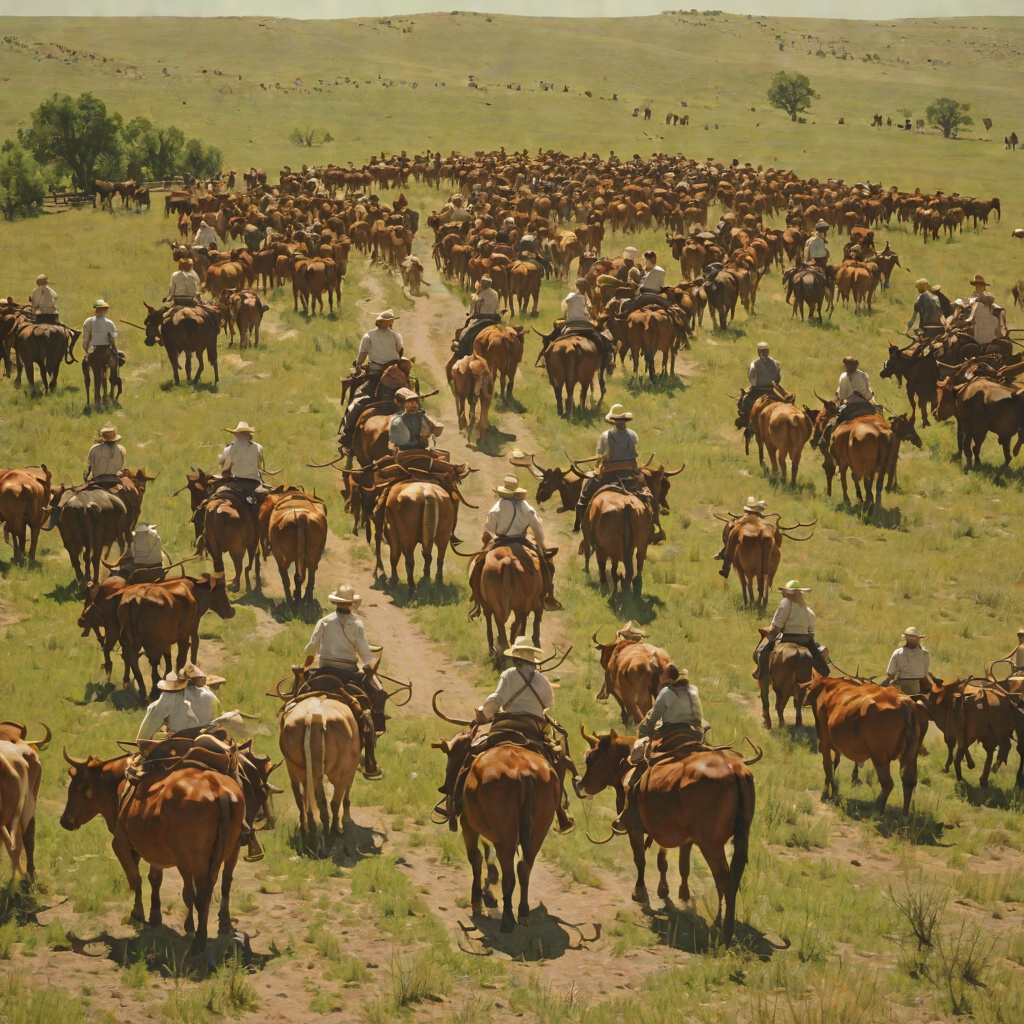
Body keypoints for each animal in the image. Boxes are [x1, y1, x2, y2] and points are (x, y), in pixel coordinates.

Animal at [575, 728, 758, 945]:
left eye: (591, 759)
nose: (581, 785)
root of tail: (734, 769)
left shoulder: (635, 828)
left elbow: (640, 860)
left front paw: (640, 892)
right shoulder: (679, 835)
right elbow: (676, 864)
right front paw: (676, 893)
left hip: (711, 845)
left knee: (723, 878)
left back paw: (725, 931)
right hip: (741, 838)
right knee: (733, 876)